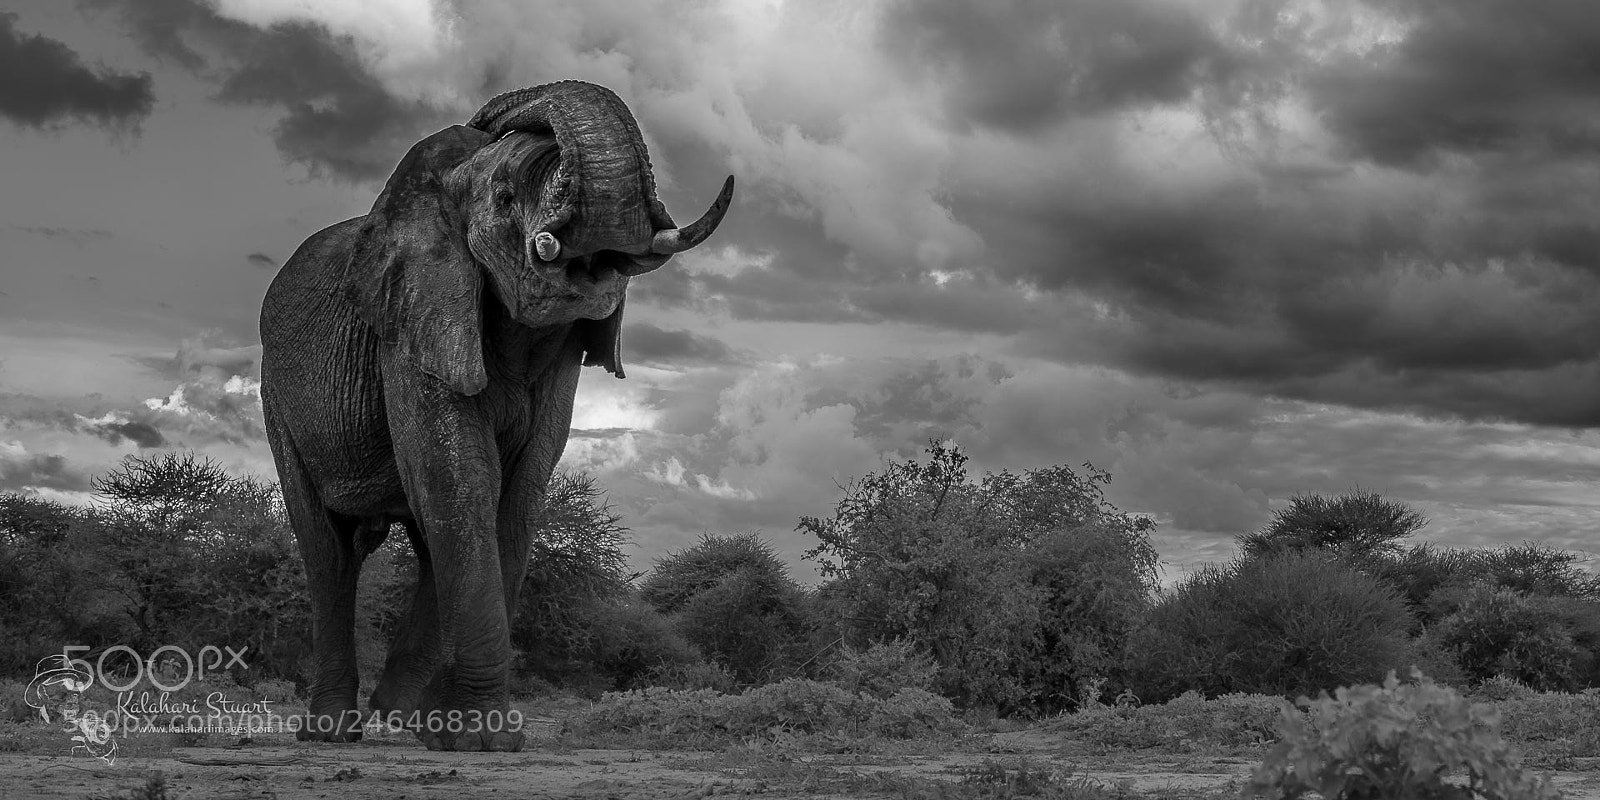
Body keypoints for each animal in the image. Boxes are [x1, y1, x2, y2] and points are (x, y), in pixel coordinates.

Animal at [258, 80, 734, 751]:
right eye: (507, 199)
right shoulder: (412, 321)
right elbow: (457, 478)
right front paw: (482, 740)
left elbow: (515, 490)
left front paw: (456, 733)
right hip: (277, 400)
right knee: (329, 552)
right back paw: (331, 733)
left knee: (416, 541)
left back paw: (403, 715)